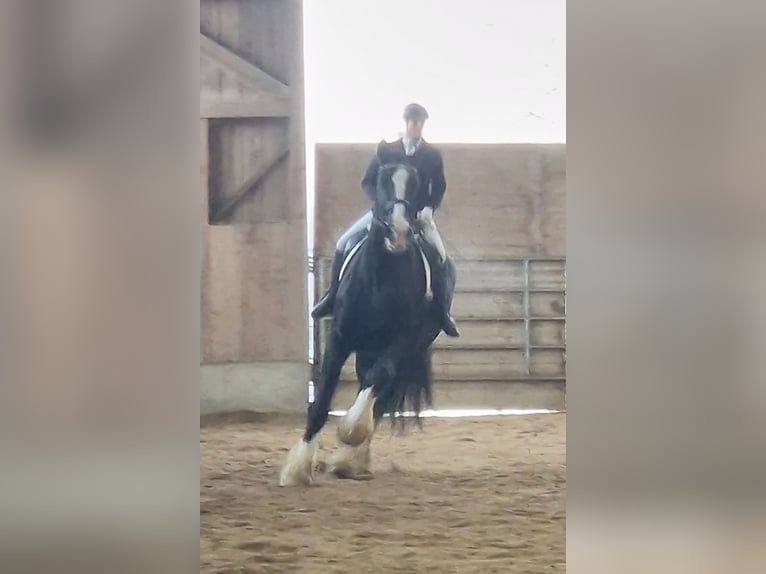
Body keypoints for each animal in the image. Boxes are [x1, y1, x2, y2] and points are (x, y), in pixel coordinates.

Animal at [280, 144, 456, 486]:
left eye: (416, 183)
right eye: (383, 179)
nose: (398, 232)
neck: (381, 278)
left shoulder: (401, 341)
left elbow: (376, 386)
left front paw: (350, 432)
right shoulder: (340, 338)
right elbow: (322, 398)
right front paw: (297, 467)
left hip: (404, 349)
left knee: (381, 395)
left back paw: (352, 459)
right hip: (365, 350)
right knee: (370, 385)